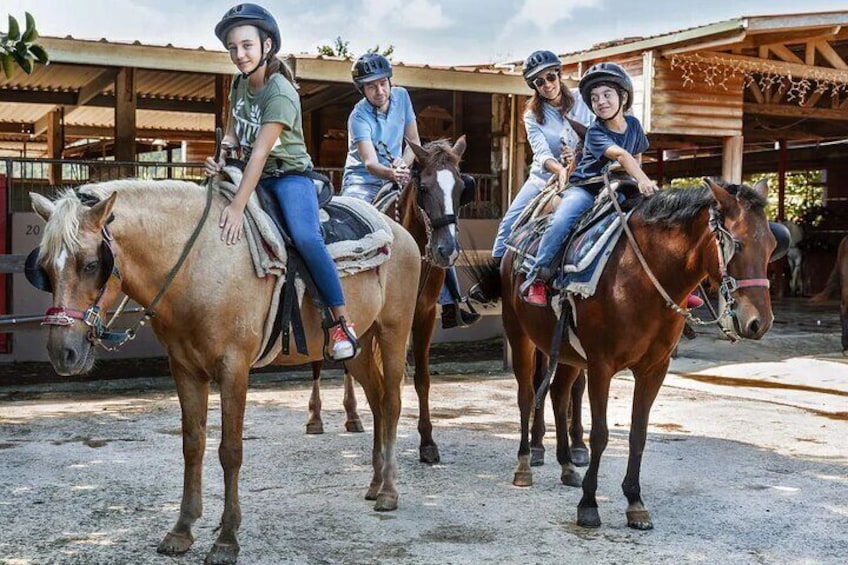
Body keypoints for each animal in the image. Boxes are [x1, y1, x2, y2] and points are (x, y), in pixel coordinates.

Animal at [26, 181, 420, 564]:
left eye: (92, 264)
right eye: (44, 268)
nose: (63, 352)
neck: (197, 264)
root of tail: (400, 233)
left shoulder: (233, 368)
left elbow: (230, 450)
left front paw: (227, 538)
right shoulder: (185, 369)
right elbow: (193, 445)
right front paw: (182, 530)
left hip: (393, 331)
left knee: (392, 403)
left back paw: (389, 491)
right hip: (359, 346)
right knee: (377, 401)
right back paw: (375, 483)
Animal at [304, 135, 468, 462]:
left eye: (459, 187)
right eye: (424, 187)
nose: (447, 250)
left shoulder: (424, 315)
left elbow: (422, 378)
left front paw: (427, 442)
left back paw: (353, 416)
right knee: (318, 363)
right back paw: (315, 418)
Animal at [500, 178, 780, 528]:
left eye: (771, 245)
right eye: (737, 244)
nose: (759, 323)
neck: (641, 278)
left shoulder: (654, 369)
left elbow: (639, 434)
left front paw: (635, 501)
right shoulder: (601, 365)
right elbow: (601, 435)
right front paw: (589, 504)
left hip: (566, 352)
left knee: (559, 395)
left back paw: (566, 466)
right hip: (521, 336)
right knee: (527, 396)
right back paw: (524, 465)